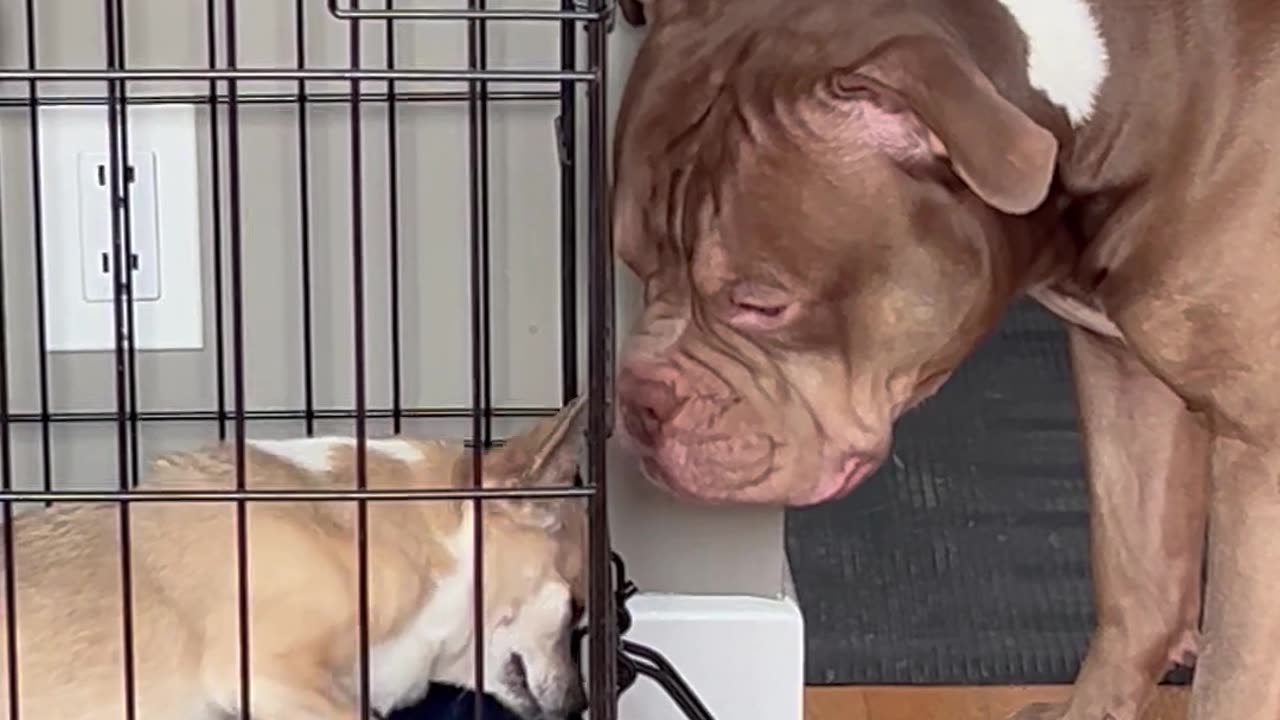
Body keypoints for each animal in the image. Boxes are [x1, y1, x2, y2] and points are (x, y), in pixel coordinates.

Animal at [606, 1, 1280, 717]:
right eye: (634, 265)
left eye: (762, 304)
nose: (641, 401)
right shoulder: (1119, 371)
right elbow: (1134, 588)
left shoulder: (1259, 457)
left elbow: (1233, 678)